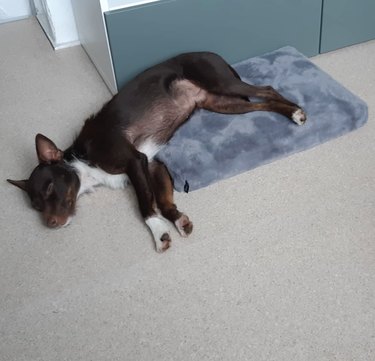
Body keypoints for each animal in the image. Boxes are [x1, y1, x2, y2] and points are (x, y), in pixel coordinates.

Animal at [7, 52, 306, 252]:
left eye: (49, 189)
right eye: (35, 206)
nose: (50, 224)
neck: (84, 161)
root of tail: (210, 52)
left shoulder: (134, 161)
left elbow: (145, 206)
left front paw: (158, 230)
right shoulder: (152, 165)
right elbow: (163, 201)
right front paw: (177, 221)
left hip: (223, 84)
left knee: (267, 89)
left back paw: (296, 111)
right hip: (221, 103)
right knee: (260, 104)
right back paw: (289, 112)